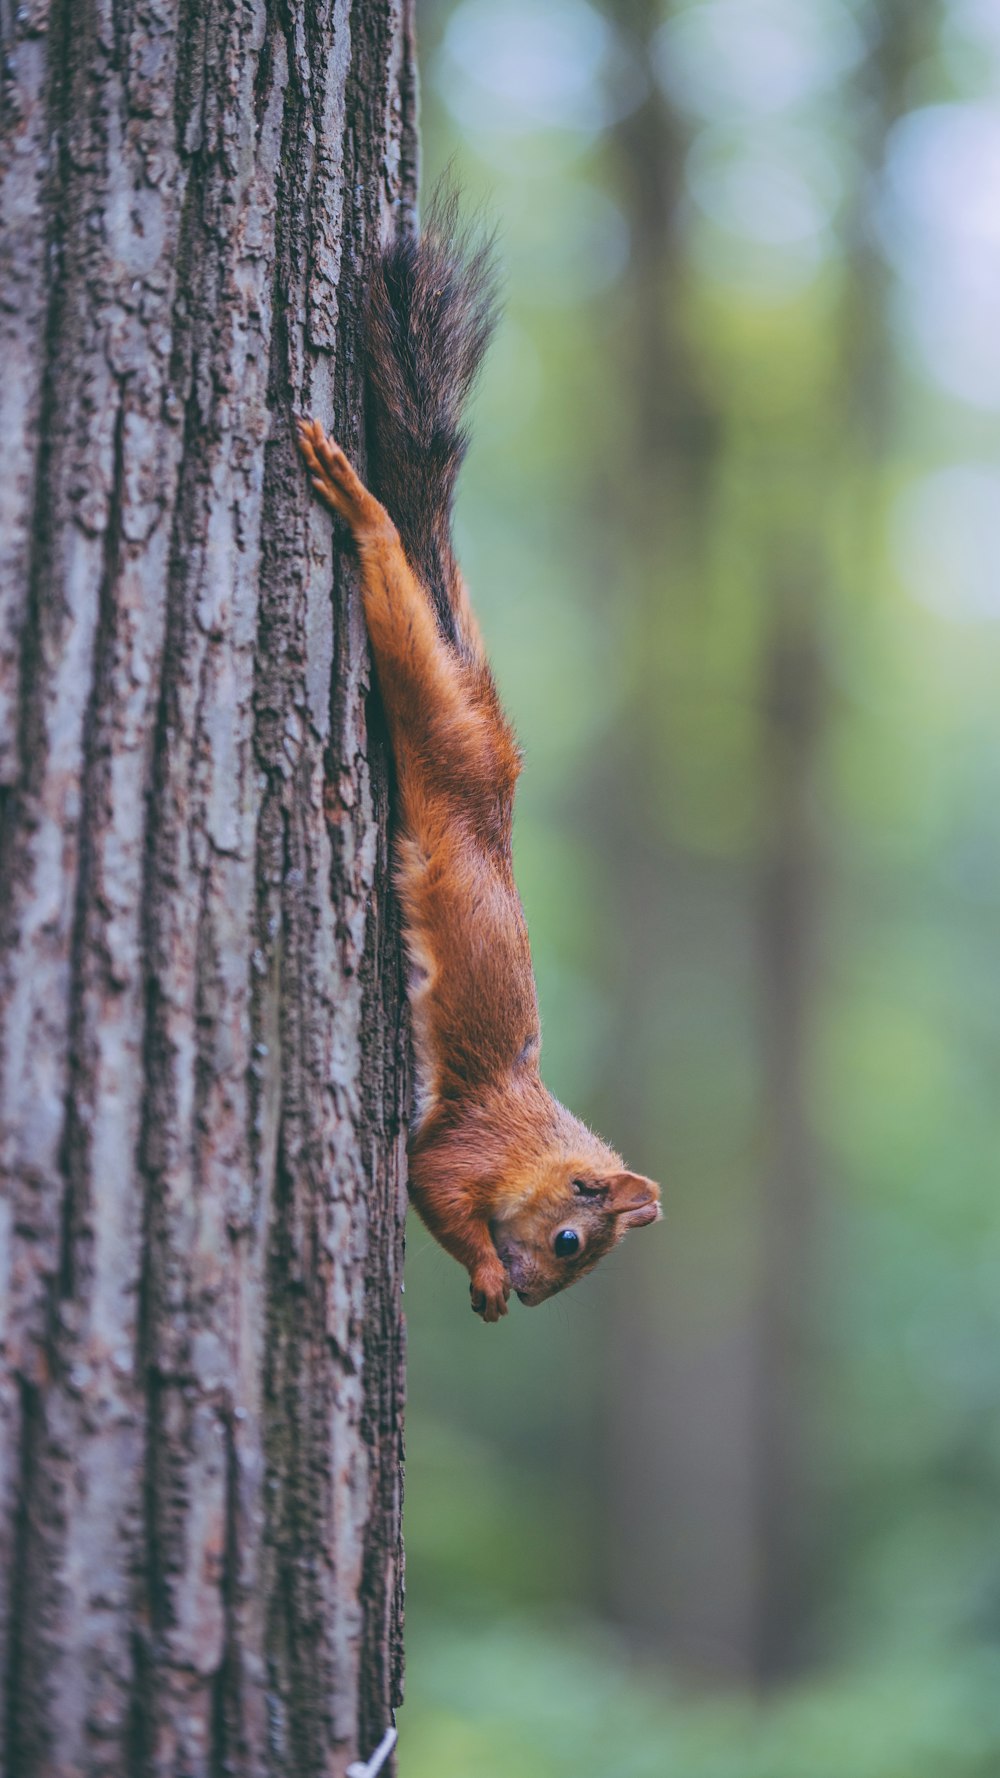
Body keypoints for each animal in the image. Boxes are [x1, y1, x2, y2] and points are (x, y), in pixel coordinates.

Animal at [291, 194, 658, 1322]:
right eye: (572, 1237)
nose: (535, 1296)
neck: (535, 1135)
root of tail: (494, 759)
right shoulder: (463, 1146)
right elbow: (434, 1189)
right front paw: (489, 1272)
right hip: (435, 721)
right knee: (402, 617)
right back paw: (363, 512)